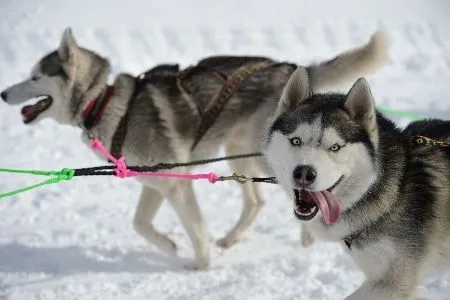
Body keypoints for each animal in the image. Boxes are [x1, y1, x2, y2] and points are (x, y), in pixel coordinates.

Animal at [0, 28, 386, 270]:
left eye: (35, 77)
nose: (4, 93)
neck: (106, 104)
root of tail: (292, 70)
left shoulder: (176, 185)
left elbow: (195, 231)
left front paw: (200, 265)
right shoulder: (155, 182)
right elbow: (139, 224)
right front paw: (169, 245)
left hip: (268, 156)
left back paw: (305, 236)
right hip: (238, 152)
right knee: (257, 201)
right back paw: (232, 240)